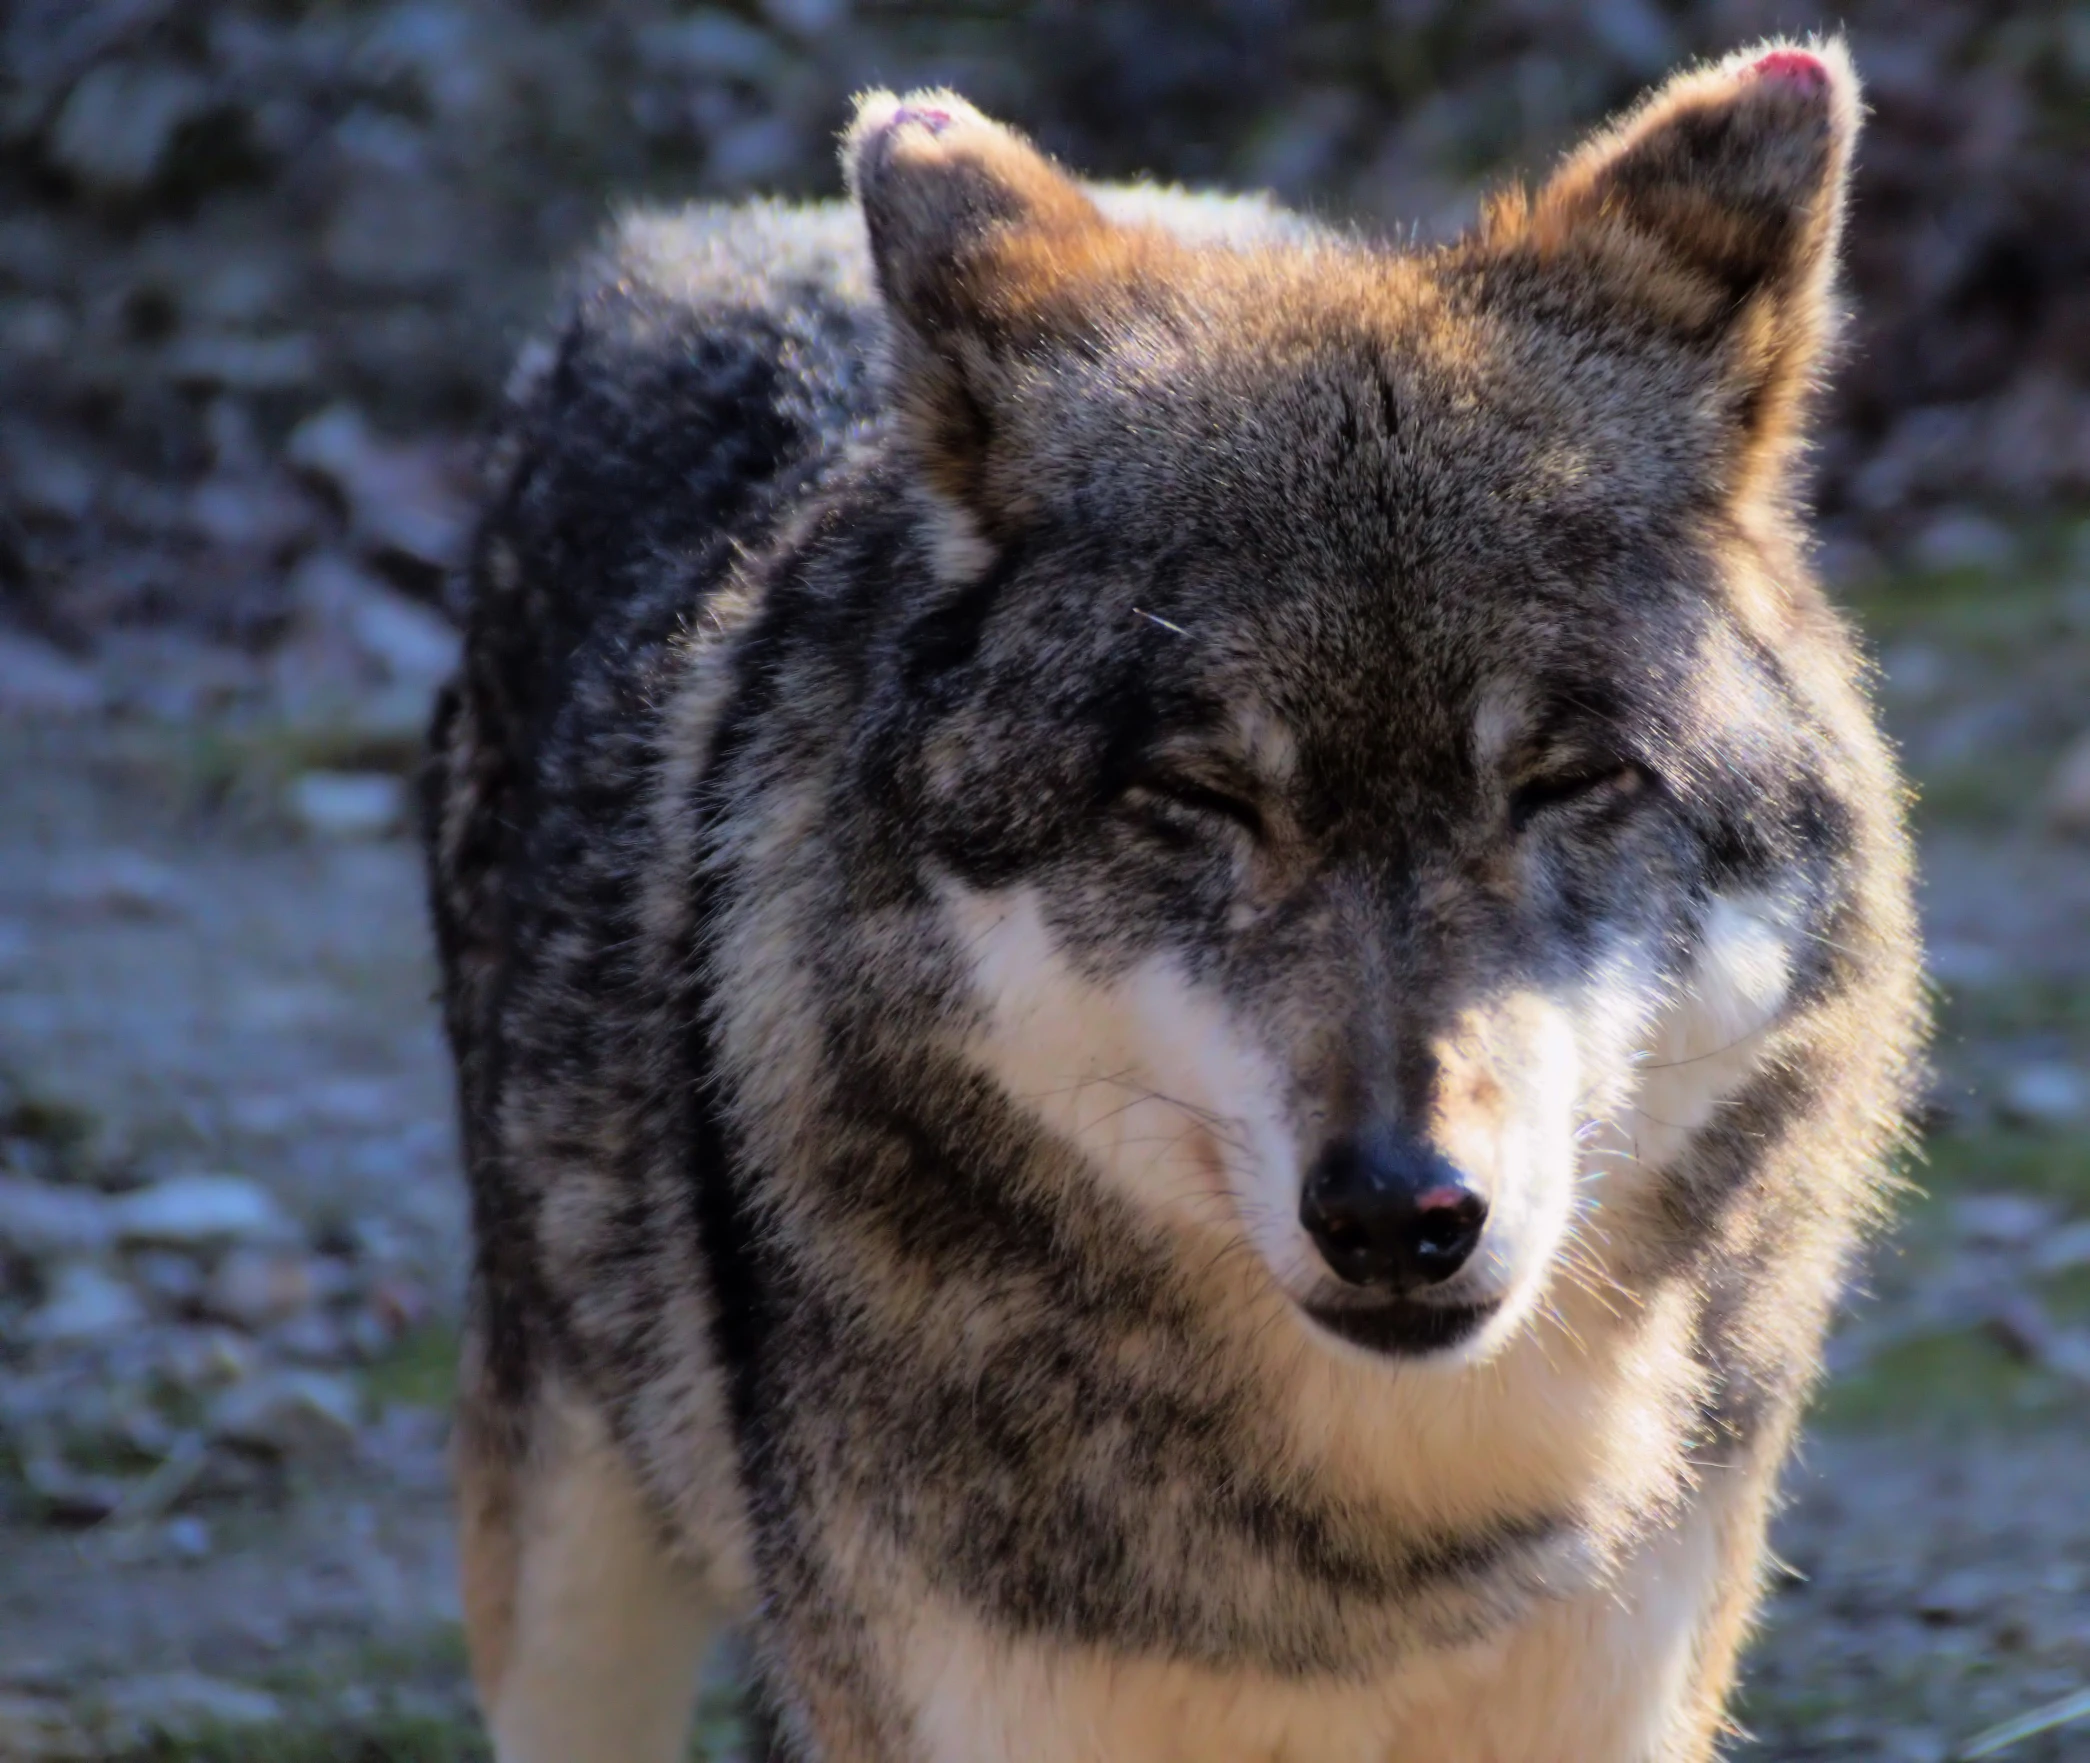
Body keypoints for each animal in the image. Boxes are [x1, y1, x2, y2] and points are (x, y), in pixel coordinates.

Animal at [424, 37, 1922, 1763]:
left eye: (1562, 781)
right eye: (1199, 796)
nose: (1396, 1214)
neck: (1381, 1546)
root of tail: (696, 236)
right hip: (568, 1572)